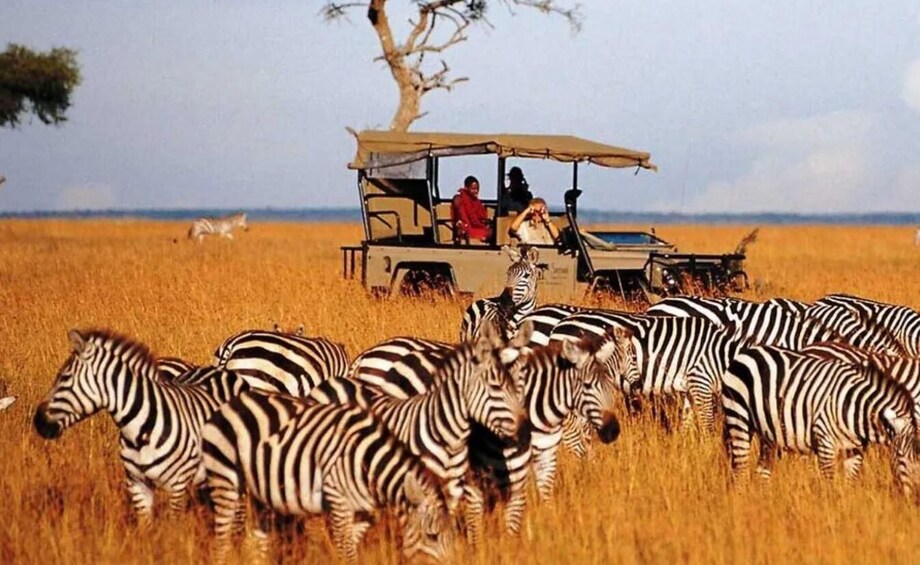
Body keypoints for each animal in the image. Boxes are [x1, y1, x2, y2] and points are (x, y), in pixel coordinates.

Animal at [33, 329, 249, 523]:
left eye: (64, 378)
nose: (38, 422)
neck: (141, 431)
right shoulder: (136, 484)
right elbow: (145, 528)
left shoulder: (177, 484)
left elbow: (173, 525)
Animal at [201, 390, 455, 564]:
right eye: (432, 536)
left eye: (451, 537)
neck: (368, 464)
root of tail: (230, 403)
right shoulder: (338, 501)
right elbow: (347, 553)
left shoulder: (363, 513)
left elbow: (350, 548)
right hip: (224, 479)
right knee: (220, 542)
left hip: (259, 493)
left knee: (255, 542)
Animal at [721, 344, 920, 494]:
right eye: (901, 457)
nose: (915, 498)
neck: (854, 407)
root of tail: (748, 351)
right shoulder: (825, 443)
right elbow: (830, 485)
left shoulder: (854, 450)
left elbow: (849, 484)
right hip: (738, 418)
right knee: (740, 471)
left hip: (768, 431)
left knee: (762, 470)